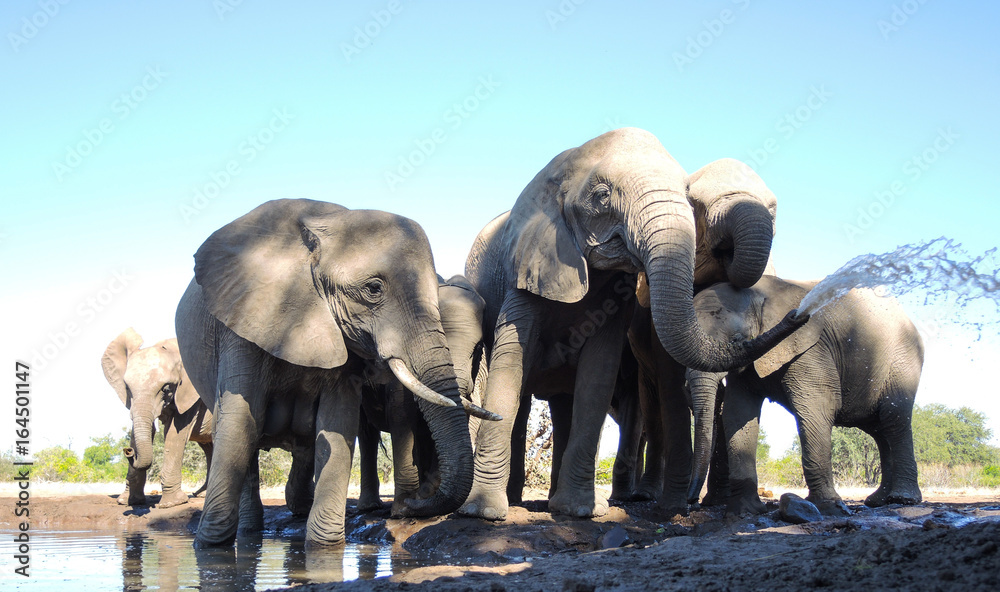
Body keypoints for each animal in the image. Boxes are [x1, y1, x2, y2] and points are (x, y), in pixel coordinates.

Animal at [101, 328, 213, 508]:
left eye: (166, 389)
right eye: (127, 388)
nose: (128, 451)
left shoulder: (190, 394)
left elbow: (174, 433)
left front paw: (172, 504)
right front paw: (128, 502)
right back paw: (202, 495)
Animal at [357, 274, 488, 515]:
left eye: (477, 348)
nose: (413, 503)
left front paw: (423, 496)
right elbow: (401, 413)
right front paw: (403, 509)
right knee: (365, 432)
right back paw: (369, 507)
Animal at [461, 129, 806, 520]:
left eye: (687, 198)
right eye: (602, 196)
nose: (799, 314)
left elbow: (600, 370)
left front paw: (580, 511)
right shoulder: (528, 265)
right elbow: (511, 361)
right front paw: (482, 513)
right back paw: (515, 499)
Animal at [685, 276, 924, 516]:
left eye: (735, 340)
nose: (691, 501)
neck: (760, 292)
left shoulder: (811, 349)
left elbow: (818, 406)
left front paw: (830, 507)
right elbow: (738, 414)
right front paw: (746, 511)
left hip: (902, 359)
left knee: (893, 419)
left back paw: (902, 499)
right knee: (878, 429)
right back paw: (878, 500)